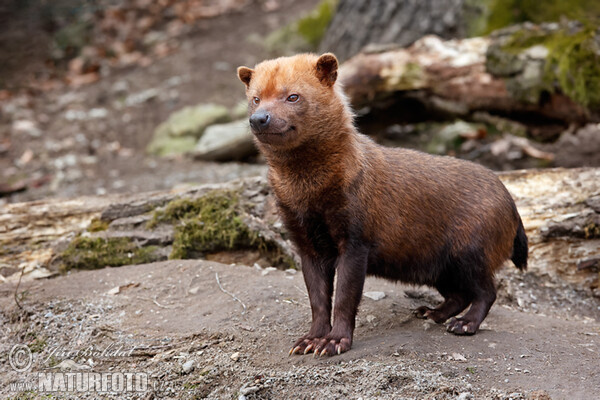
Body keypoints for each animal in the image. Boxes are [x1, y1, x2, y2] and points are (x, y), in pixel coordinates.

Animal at [237, 52, 528, 356]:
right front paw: (309, 340)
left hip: (470, 251)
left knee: (486, 291)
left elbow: (345, 296)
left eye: (293, 96)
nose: (259, 118)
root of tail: (511, 202)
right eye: (255, 98)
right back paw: (431, 312)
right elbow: (317, 299)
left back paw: (464, 324)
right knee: (459, 294)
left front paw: (334, 341)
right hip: (440, 266)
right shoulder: (305, 242)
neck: (309, 198)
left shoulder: (356, 239)